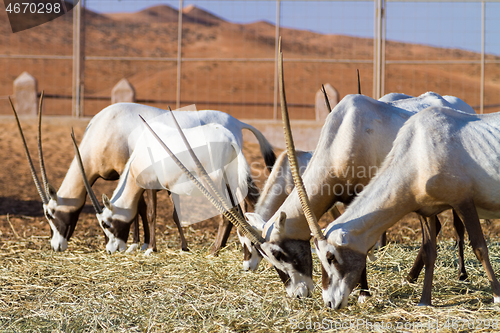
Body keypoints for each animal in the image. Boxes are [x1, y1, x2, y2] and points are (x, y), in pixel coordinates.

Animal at [12, 100, 274, 252]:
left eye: (50, 214)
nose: (56, 246)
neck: (106, 129)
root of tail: (237, 122)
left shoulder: (127, 170)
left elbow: (140, 209)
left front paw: (139, 244)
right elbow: (141, 209)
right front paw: (142, 244)